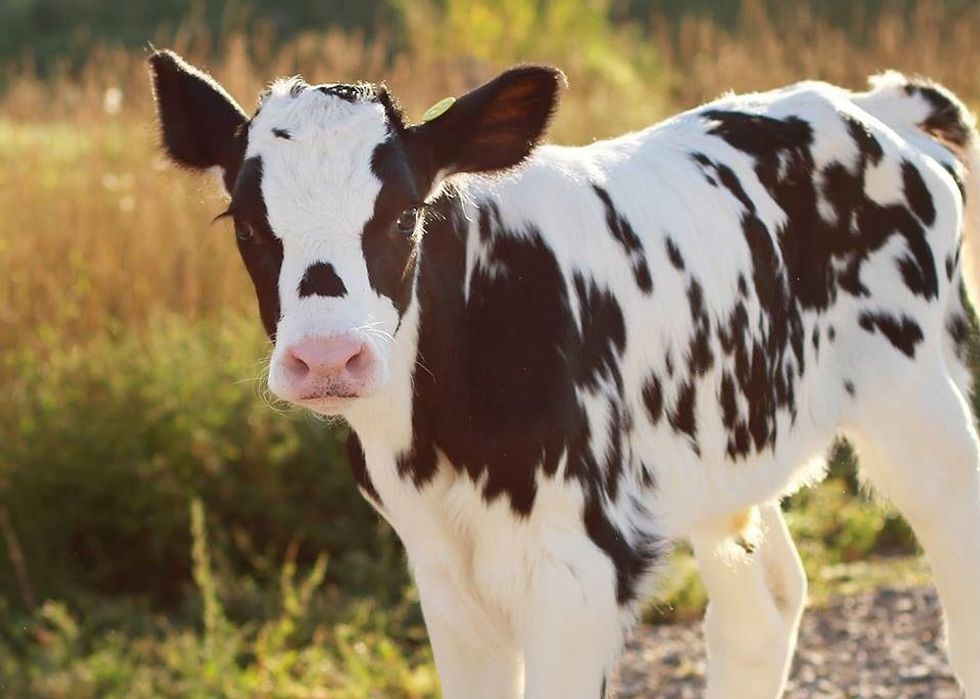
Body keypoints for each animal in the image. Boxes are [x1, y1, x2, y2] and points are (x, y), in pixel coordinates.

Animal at [148, 49, 980, 698]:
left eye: (404, 214)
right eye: (246, 223)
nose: (326, 356)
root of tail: (869, 106)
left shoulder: (580, 568)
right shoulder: (444, 573)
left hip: (918, 401)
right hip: (723, 454)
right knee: (764, 608)